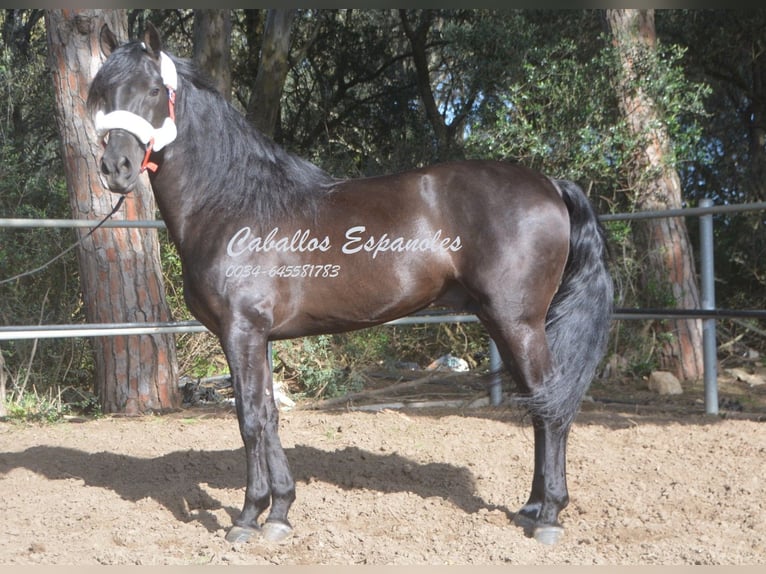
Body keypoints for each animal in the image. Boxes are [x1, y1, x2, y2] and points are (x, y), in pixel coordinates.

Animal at [88, 24, 612, 548]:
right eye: (103, 93)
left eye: (153, 91)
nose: (115, 167)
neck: (233, 202)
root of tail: (550, 184)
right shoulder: (255, 338)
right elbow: (270, 416)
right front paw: (279, 513)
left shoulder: (241, 332)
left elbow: (250, 419)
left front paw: (247, 517)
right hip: (503, 322)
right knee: (539, 405)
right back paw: (533, 507)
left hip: (518, 322)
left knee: (551, 407)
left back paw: (549, 517)